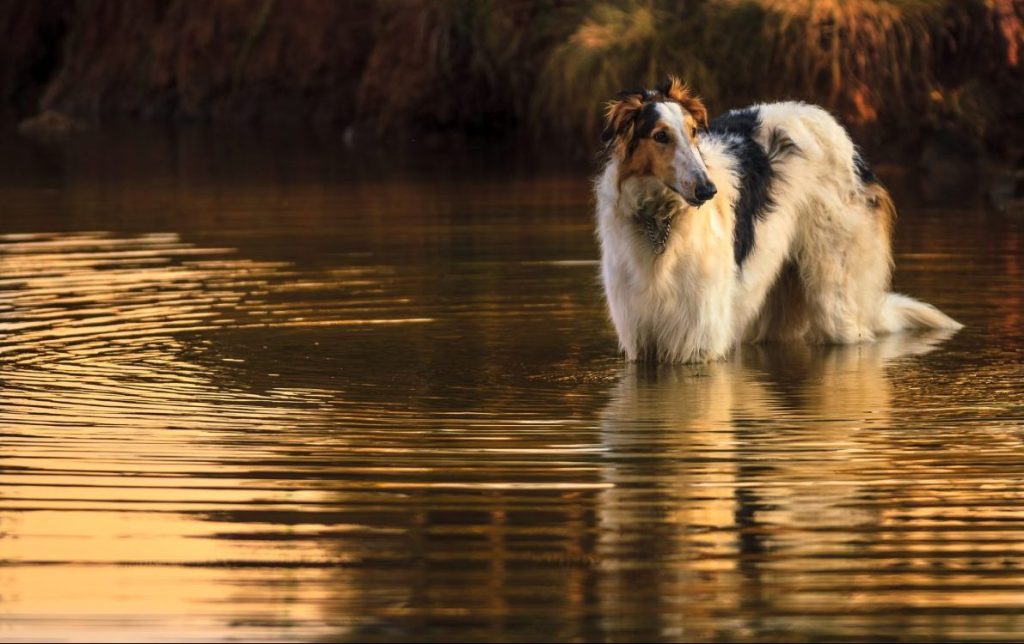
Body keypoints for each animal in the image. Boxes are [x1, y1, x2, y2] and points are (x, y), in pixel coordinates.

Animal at [593, 75, 958, 364]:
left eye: (694, 132)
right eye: (660, 136)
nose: (707, 190)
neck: (660, 221)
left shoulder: (699, 338)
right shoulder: (641, 341)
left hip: (836, 297)